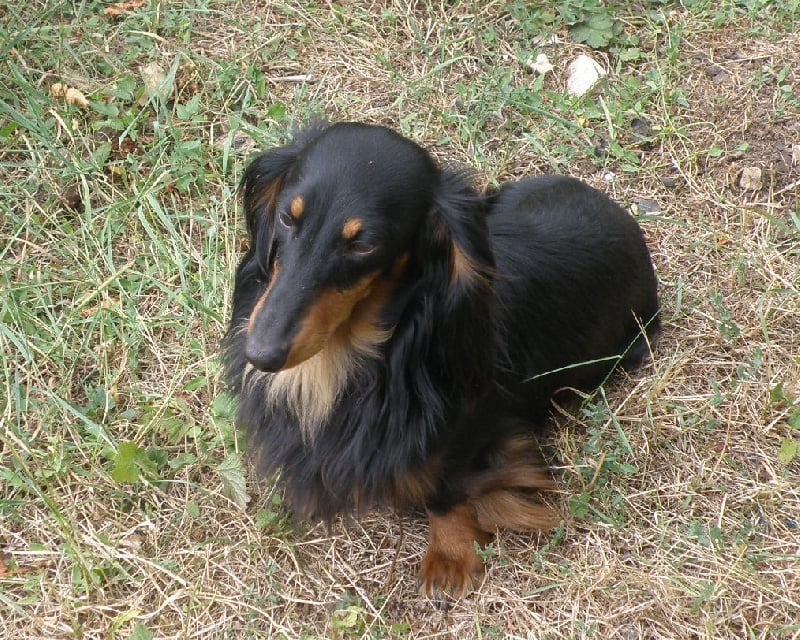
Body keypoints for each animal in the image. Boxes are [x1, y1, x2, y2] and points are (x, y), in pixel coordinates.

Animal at [223, 121, 659, 602]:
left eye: (364, 245)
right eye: (287, 217)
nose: (261, 353)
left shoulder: (466, 432)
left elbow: (446, 489)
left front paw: (449, 555)